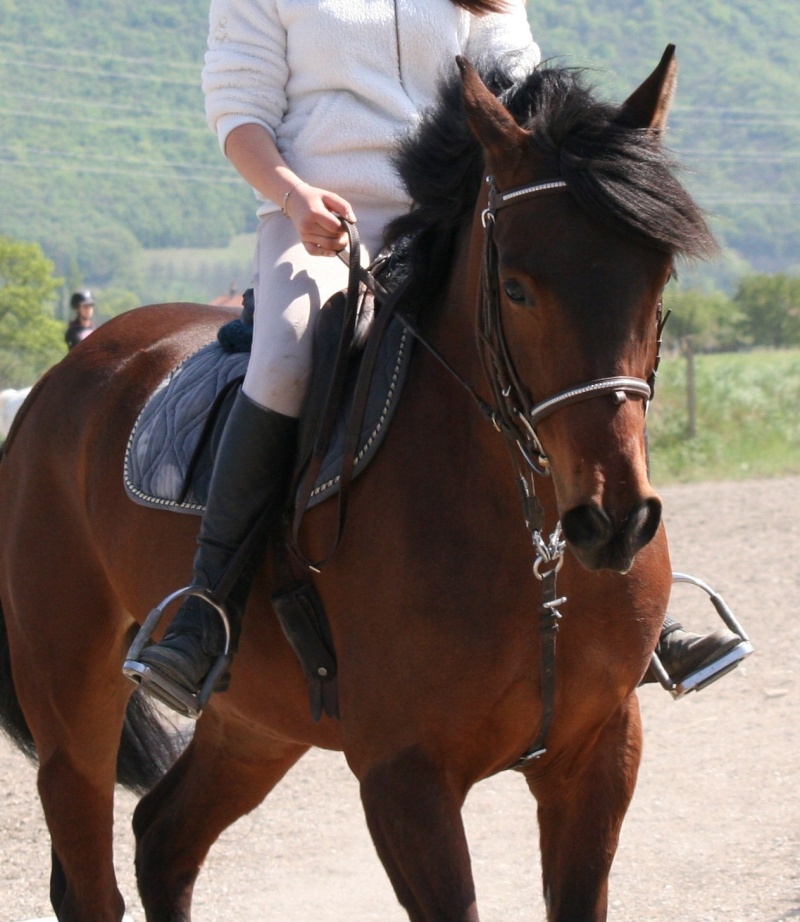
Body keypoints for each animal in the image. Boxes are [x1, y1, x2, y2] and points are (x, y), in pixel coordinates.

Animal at [0, 48, 712, 920]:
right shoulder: (404, 777)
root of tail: (60, 382)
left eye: (659, 278)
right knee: (93, 873)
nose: (613, 522)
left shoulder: (599, 753)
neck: (528, 538)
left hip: (257, 722)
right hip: (72, 703)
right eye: (516, 287)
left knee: (163, 838)